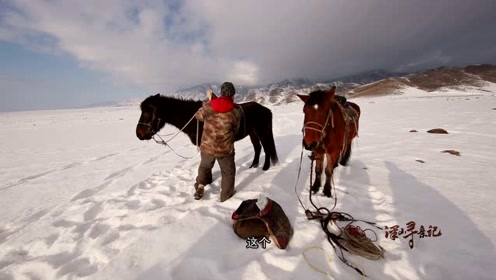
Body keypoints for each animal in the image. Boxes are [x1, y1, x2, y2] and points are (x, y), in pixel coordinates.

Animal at [136, 94, 280, 170]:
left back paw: (265, 167)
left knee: (266, 148)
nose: (139, 133)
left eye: (148, 111)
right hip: (253, 133)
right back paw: (253, 165)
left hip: (262, 132)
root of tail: (265, 109)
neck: (195, 118)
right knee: (258, 147)